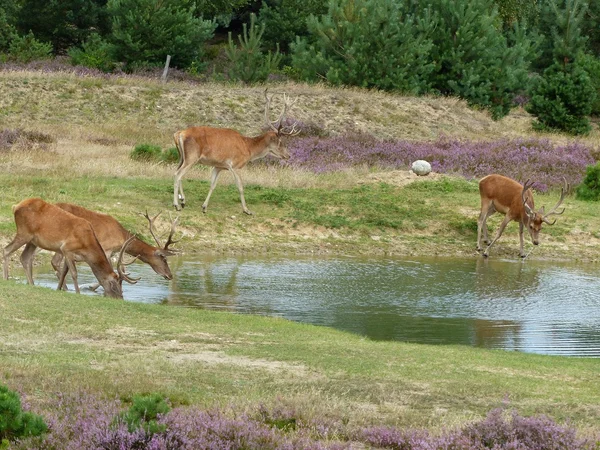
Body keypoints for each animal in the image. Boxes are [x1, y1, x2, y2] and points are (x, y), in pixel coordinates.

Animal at [2, 198, 131, 298]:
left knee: (24, 257)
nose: (120, 298)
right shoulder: (67, 249)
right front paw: (78, 293)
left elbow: (64, 272)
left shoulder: (68, 254)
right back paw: (6, 278)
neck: (87, 245)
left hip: (32, 240)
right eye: (114, 286)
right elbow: (74, 273)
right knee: (6, 250)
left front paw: (59, 289)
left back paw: (31, 283)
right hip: (24, 233)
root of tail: (15, 206)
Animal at [50, 202, 178, 284]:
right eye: (164, 258)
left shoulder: (113, 252)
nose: (170, 275)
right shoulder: (106, 249)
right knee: (55, 261)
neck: (121, 236)